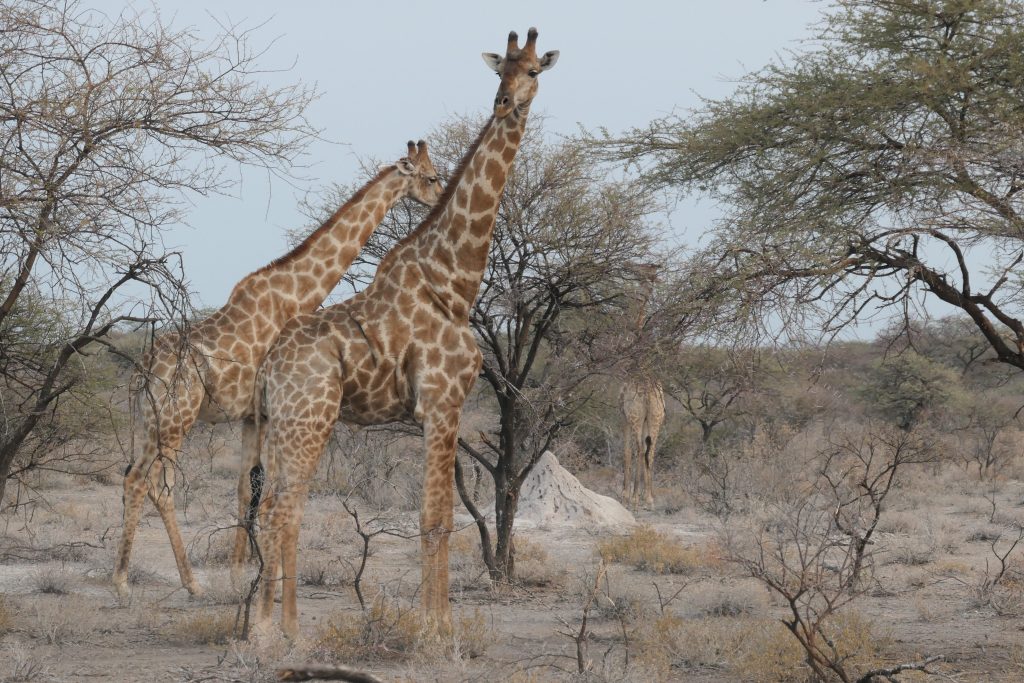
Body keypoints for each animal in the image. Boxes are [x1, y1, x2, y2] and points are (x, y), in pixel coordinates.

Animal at [112, 141, 442, 600]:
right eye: (431, 176)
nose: (439, 199)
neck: (296, 292)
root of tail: (141, 371)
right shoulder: (274, 409)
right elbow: (264, 488)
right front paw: (265, 577)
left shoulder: (254, 415)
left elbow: (244, 487)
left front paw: (239, 573)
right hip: (177, 419)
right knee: (154, 484)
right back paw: (161, 582)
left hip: (149, 421)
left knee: (133, 478)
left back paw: (143, 578)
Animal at [250, 28, 559, 639]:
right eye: (500, 72)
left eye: (534, 71)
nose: (504, 103)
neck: (453, 281)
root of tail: (270, 364)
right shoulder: (441, 404)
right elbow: (435, 517)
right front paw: (435, 631)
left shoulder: (437, 409)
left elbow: (439, 517)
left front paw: (435, 623)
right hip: (309, 421)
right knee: (283, 509)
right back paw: (279, 634)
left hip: (282, 425)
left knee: (272, 507)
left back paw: (261, 628)